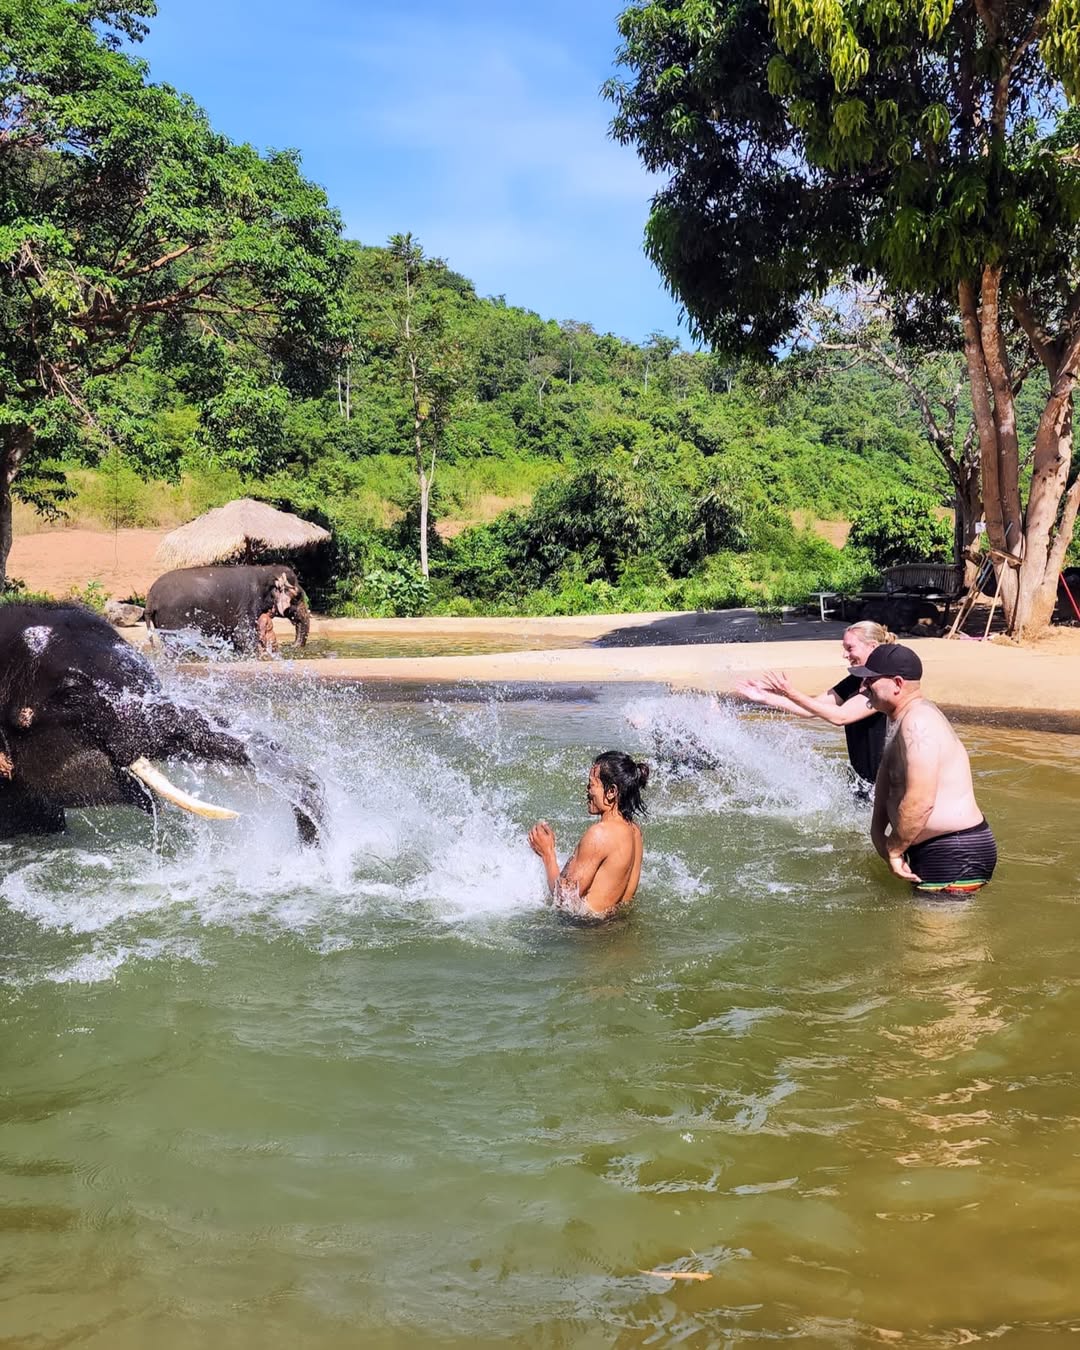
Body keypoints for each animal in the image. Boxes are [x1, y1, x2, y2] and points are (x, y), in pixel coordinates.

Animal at [144, 564, 312, 654]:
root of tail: (150, 599)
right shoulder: (248, 603)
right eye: (298, 597)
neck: (266, 570)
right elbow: (242, 634)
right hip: (173, 617)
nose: (293, 646)